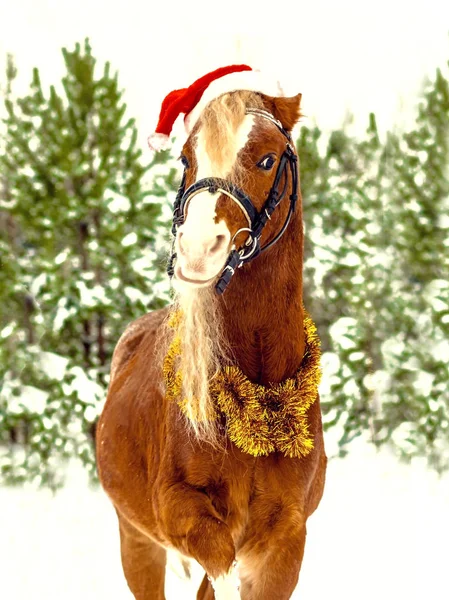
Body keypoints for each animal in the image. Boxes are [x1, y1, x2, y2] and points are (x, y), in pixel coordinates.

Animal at [96, 75, 326, 600]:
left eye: (266, 159)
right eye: (186, 158)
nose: (198, 249)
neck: (260, 391)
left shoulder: (285, 541)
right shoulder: (184, 514)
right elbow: (217, 571)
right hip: (135, 539)